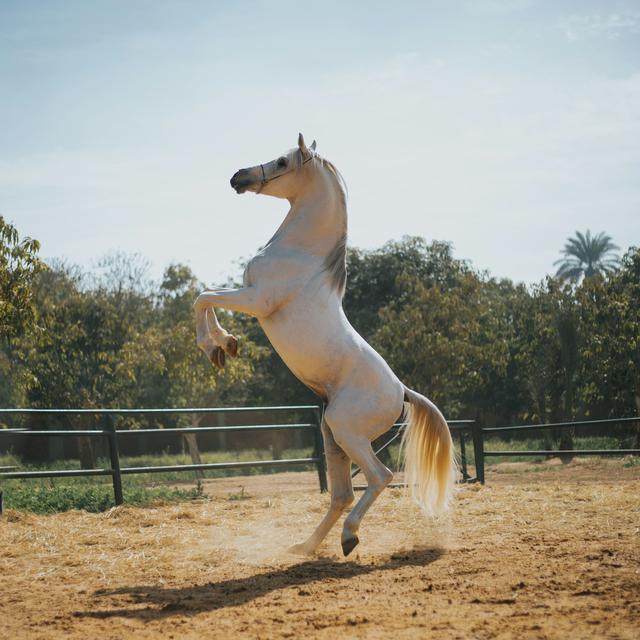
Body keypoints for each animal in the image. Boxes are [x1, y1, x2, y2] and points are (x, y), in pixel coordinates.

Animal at [194, 134, 456, 556]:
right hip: (332, 437)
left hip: (347, 431)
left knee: (380, 477)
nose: (239, 177)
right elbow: (205, 296)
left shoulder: (257, 300)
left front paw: (216, 346)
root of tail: (402, 392)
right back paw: (306, 545)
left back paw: (349, 537)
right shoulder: (249, 296)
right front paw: (224, 346)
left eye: (282, 161)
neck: (300, 252)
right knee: (342, 494)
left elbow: (203, 297)